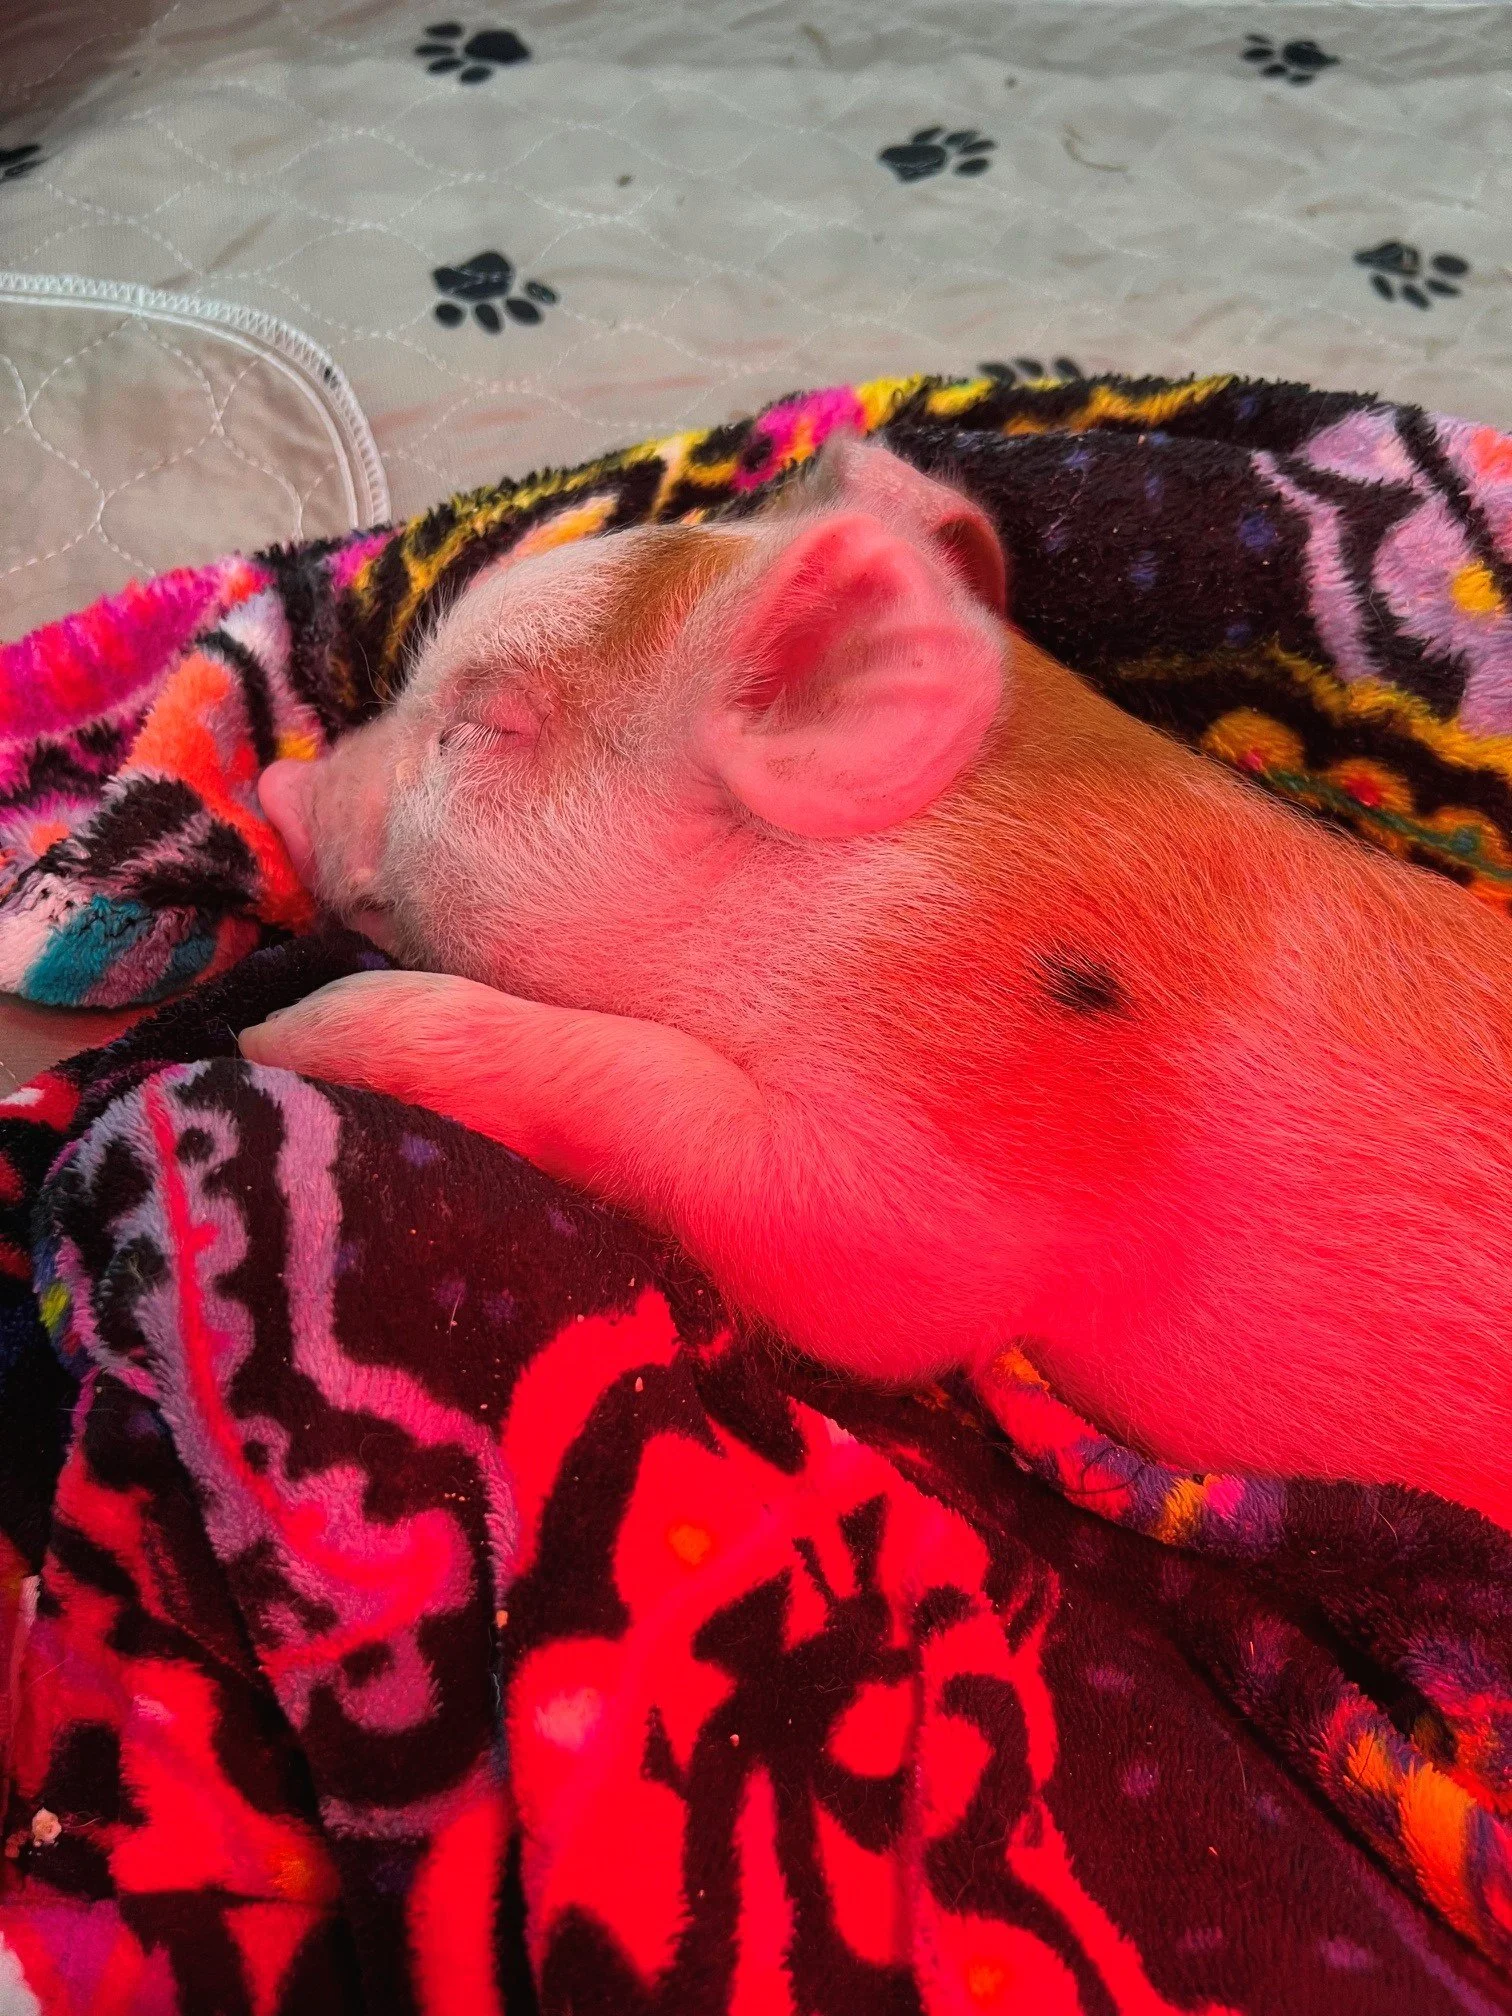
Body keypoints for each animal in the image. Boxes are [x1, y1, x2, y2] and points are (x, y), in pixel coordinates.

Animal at [241, 436, 1512, 1533]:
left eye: (484, 727)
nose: (275, 787)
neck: (878, 892)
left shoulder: (966, 1143)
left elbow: (858, 1275)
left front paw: (282, 1035)